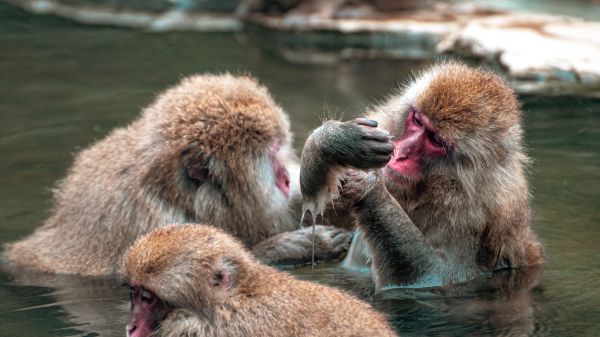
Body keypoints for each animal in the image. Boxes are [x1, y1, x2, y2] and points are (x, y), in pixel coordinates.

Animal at [3, 74, 352, 276]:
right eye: (273, 159)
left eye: (282, 150)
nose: (287, 178)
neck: (176, 196)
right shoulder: (151, 225)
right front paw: (296, 246)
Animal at [300, 61, 544, 288]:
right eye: (417, 120)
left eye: (436, 141)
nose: (400, 154)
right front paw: (334, 141)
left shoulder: (474, 217)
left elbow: (432, 277)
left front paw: (369, 187)